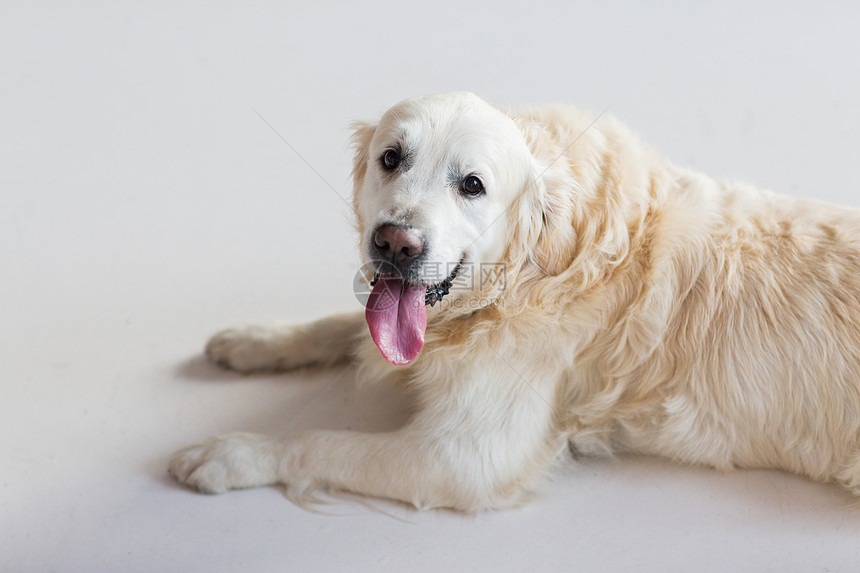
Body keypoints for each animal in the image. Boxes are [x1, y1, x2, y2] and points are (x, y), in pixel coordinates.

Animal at [170, 91, 860, 512]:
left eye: (472, 185)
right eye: (391, 158)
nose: (394, 243)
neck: (537, 268)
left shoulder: (461, 459)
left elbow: (319, 441)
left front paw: (230, 453)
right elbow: (339, 324)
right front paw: (255, 340)